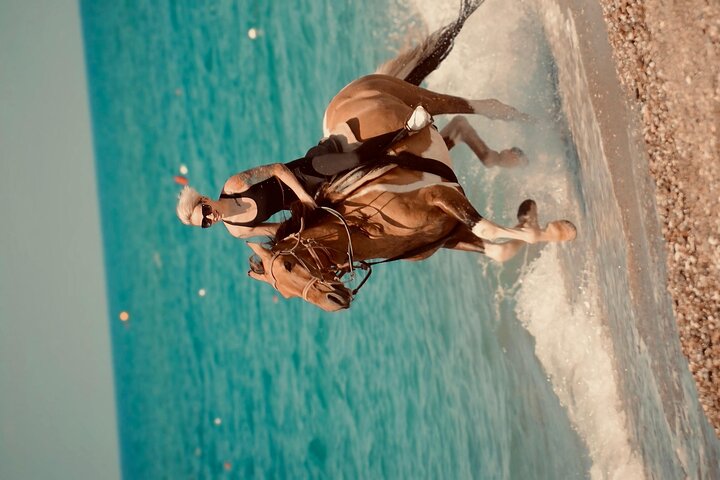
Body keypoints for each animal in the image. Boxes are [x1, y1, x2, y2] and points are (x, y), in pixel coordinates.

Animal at [245, 0, 577, 311]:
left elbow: (488, 228)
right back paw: (510, 157)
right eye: (285, 293)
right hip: (433, 135)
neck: (369, 225)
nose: (334, 301)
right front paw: (529, 217)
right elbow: (500, 249)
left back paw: (542, 123)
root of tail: (349, 89)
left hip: (425, 97)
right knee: (458, 127)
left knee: (486, 107)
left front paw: (561, 230)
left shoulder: (441, 196)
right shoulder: (451, 234)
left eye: (289, 266)